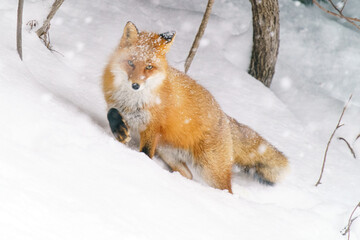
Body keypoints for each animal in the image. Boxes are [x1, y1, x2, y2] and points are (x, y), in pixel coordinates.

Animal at [102, 20, 288, 193]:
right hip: (169, 153)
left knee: (227, 189)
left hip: (209, 169)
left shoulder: (152, 127)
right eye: (131, 63)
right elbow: (112, 112)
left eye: (149, 67)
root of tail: (224, 116)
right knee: (188, 175)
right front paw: (120, 131)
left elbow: (146, 153)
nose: (135, 85)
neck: (132, 100)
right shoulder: (120, 108)